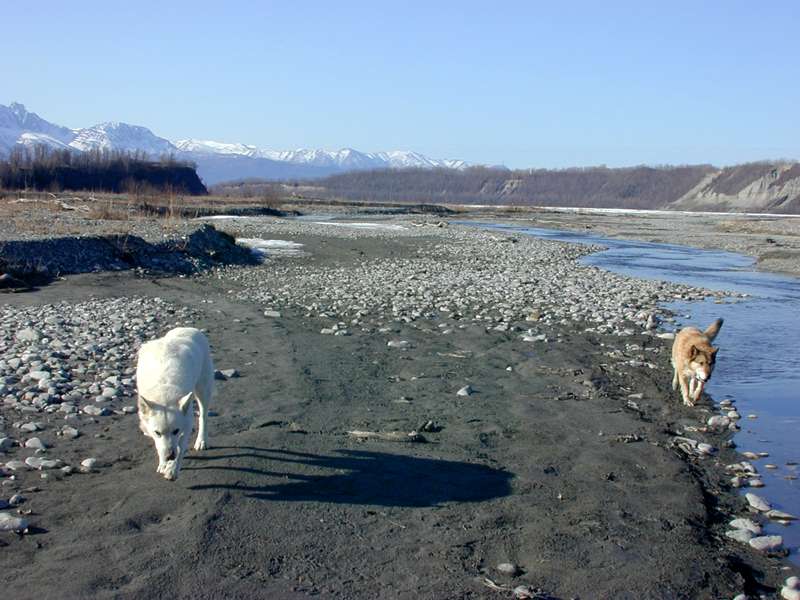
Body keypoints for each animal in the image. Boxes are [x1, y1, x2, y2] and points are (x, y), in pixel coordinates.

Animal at [136, 326, 214, 480]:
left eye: (176, 431)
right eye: (157, 432)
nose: (169, 456)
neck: (163, 393)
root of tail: (189, 328)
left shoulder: (186, 423)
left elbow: (180, 447)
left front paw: (172, 469)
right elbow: (159, 445)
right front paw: (163, 463)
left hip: (203, 389)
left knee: (203, 416)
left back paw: (201, 441)